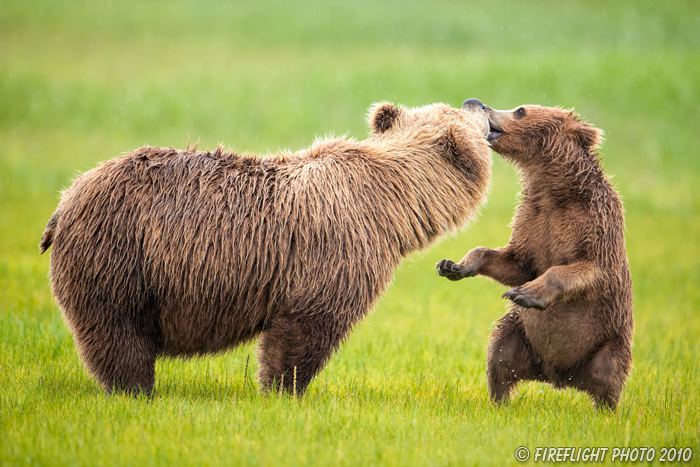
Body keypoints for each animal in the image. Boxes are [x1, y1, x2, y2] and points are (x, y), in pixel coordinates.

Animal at [41, 100, 492, 396]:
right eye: (469, 112)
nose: (476, 101)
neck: (392, 203)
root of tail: (66, 199)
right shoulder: (336, 248)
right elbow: (306, 325)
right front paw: (283, 389)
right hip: (121, 254)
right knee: (119, 333)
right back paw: (135, 389)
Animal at [434, 103, 632, 410]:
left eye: (520, 110)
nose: (481, 103)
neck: (554, 191)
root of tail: (560, 376)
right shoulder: (532, 220)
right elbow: (515, 262)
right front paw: (453, 266)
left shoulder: (595, 221)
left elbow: (587, 268)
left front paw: (525, 293)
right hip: (520, 333)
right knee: (500, 356)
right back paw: (499, 402)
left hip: (609, 339)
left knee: (607, 374)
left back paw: (605, 410)